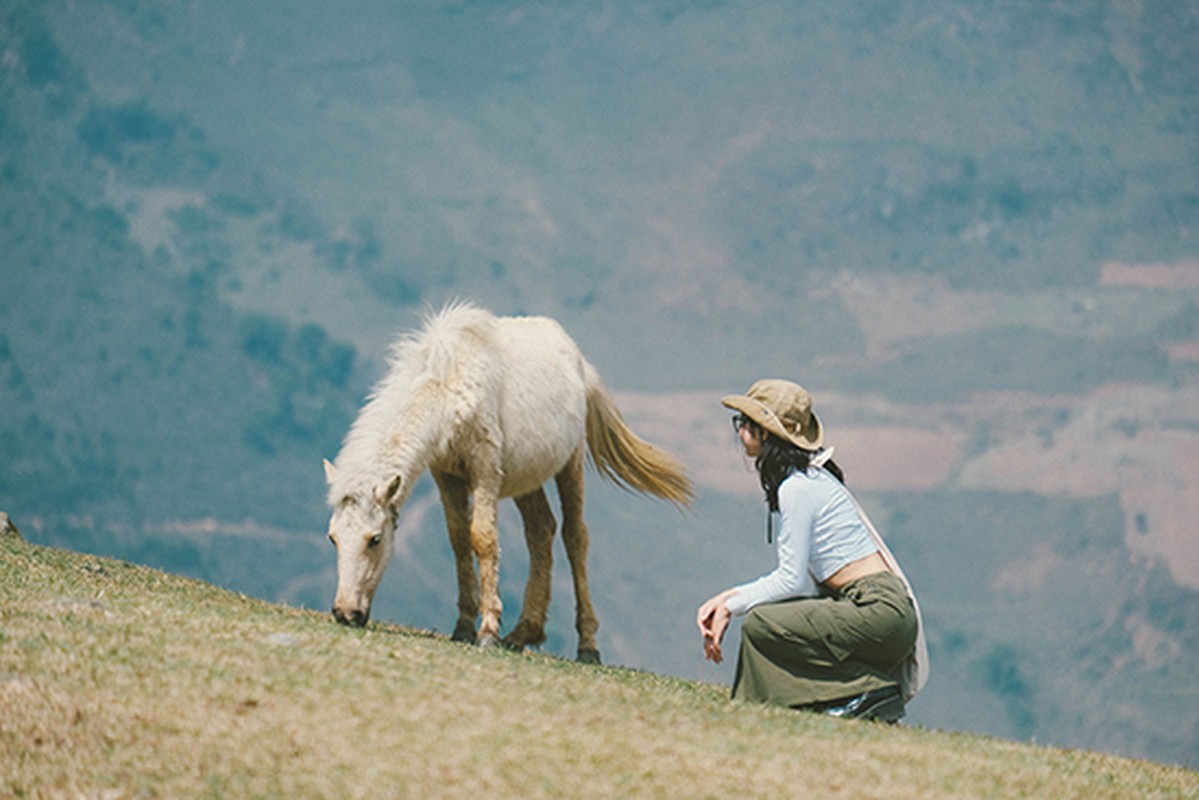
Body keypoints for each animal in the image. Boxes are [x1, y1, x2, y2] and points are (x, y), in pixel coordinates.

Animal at [323, 302, 690, 662]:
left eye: (374, 539)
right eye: (333, 538)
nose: (346, 613)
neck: (449, 385)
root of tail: (580, 364)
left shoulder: (484, 471)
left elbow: (483, 539)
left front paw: (487, 631)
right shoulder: (447, 476)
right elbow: (459, 540)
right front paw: (464, 627)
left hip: (570, 465)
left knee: (575, 537)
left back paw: (587, 646)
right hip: (527, 480)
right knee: (541, 530)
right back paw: (523, 632)